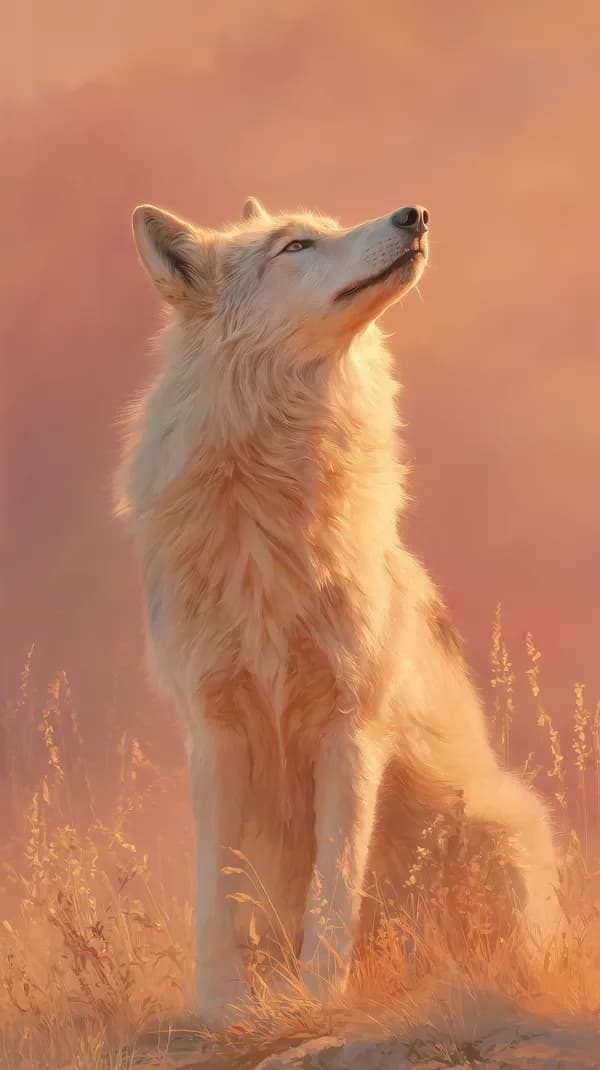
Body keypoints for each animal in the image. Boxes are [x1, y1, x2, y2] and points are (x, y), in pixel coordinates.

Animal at [117, 195, 558, 1025]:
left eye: (323, 228)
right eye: (296, 246)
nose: (415, 213)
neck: (274, 487)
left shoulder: (351, 731)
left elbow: (333, 891)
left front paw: (318, 996)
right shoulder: (214, 731)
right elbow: (214, 897)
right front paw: (222, 1008)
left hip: (494, 827)